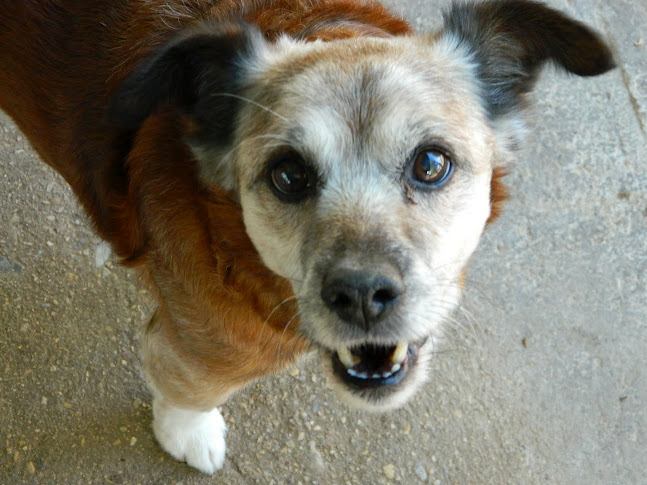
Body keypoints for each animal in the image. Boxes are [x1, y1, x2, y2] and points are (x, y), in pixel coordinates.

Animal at [0, 0, 616, 472]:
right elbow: (187, 394)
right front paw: (188, 432)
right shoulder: (198, 352)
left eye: (431, 163)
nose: (362, 296)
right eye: (289, 174)